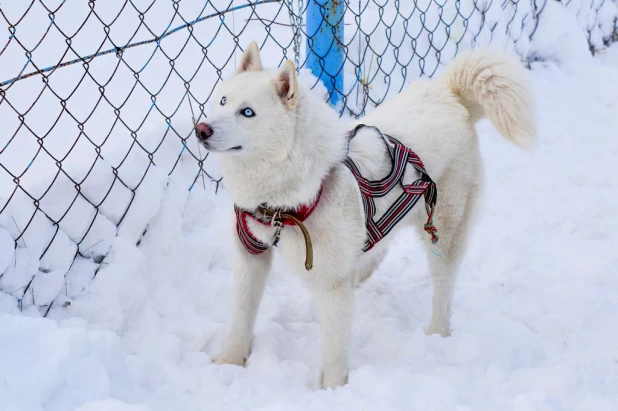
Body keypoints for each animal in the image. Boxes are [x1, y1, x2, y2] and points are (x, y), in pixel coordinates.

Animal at [195, 41, 532, 390]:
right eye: (223, 100)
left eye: (247, 112)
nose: (201, 129)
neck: (281, 202)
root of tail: (449, 94)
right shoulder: (251, 257)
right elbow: (241, 316)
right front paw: (231, 361)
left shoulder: (332, 285)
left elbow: (334, 349)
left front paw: (332, 390)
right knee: (375, 249)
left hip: (443, 233)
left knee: (443, 289)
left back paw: (437, 333)